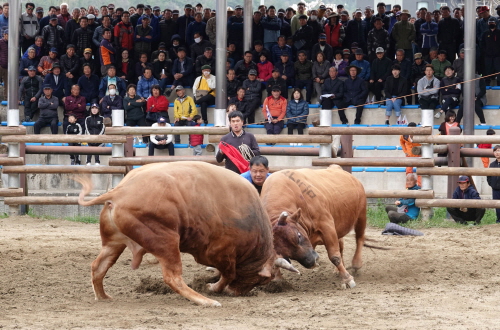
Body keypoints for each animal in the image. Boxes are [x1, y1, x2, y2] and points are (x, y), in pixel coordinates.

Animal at [76, 162, 298, 306]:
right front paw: (214, 288)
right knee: (172, 278)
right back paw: (206, 301)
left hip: (114, 243)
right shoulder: (221, 252)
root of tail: (119, 191)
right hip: (166, 242)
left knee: (98, 267)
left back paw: (103, 296)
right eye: (262, 280)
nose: (236, 293)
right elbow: (228, 274)